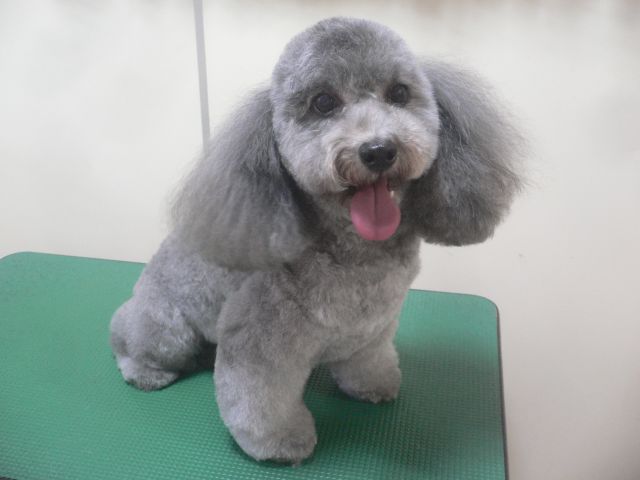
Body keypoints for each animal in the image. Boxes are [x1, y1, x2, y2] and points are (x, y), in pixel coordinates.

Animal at [110, 17, 522, 463]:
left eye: (399, 93)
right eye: (323, 102)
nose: (379, 150)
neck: (358, 255)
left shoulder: (373, 329)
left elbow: (368, 362)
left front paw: (373, 386)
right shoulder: (256, 342)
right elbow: (261, 398)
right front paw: (278, 443)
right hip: (166, 329)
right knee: (126, 339)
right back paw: (144, 370)